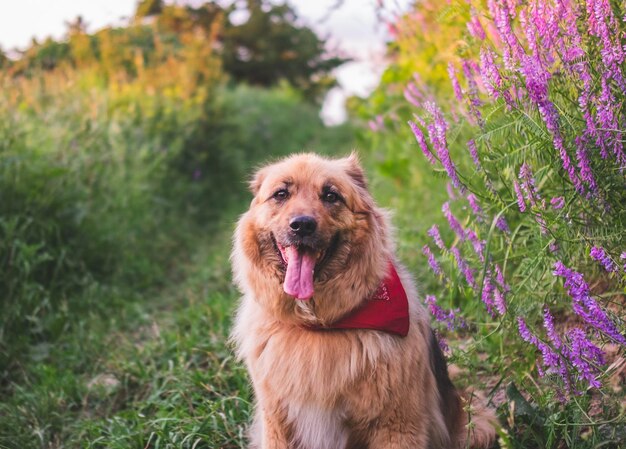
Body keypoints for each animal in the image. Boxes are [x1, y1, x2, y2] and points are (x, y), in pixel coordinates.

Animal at [229, 152, 492, 446]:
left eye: (330, 195)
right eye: (281, 194)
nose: (302, 225)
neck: (317, 325)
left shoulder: (398, 426)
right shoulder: (277, 424)